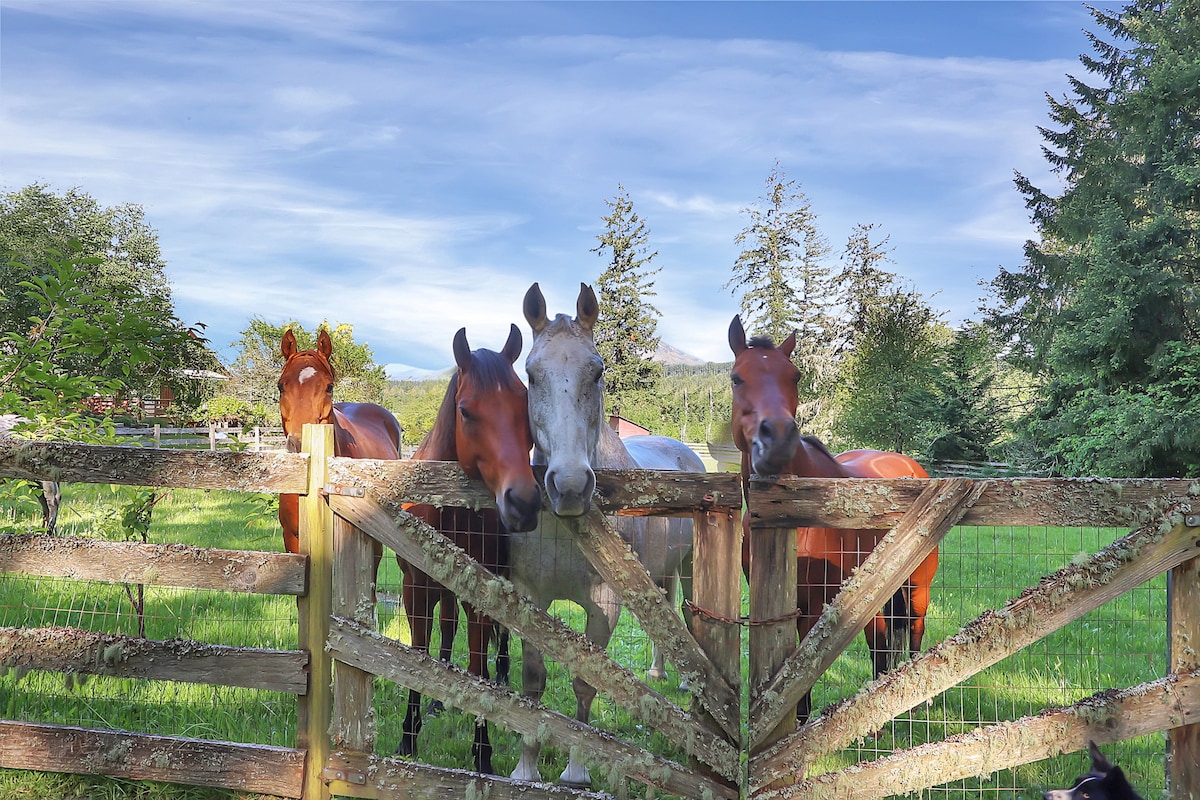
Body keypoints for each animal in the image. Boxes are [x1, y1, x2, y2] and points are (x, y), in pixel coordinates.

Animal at [398, 321, 540, 772]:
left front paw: (482, 754)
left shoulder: (482, 597)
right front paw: (408, 738)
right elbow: (419, 655)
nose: (524, 502)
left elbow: (478, 666)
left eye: (525, 403)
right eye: (465, 410)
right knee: (447, 627)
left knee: (500, 640)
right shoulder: (417, 590)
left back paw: (502, 678)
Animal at [508, 283, 700, 786]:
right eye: (531, 374)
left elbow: (584, 681)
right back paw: (657, 672)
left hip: (692, 568)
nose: (571, 486)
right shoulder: (529, 596)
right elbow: (532, 681)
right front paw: (526, 766)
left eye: (597, 372)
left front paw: (576, 770)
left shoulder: (605, 605)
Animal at [724, 316, 931, 724]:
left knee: (911, 631)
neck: (798, 511)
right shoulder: (786, 608)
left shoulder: (819, 606)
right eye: (737, 378)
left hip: (915, 585)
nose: (779, 439)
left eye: (795, 376)